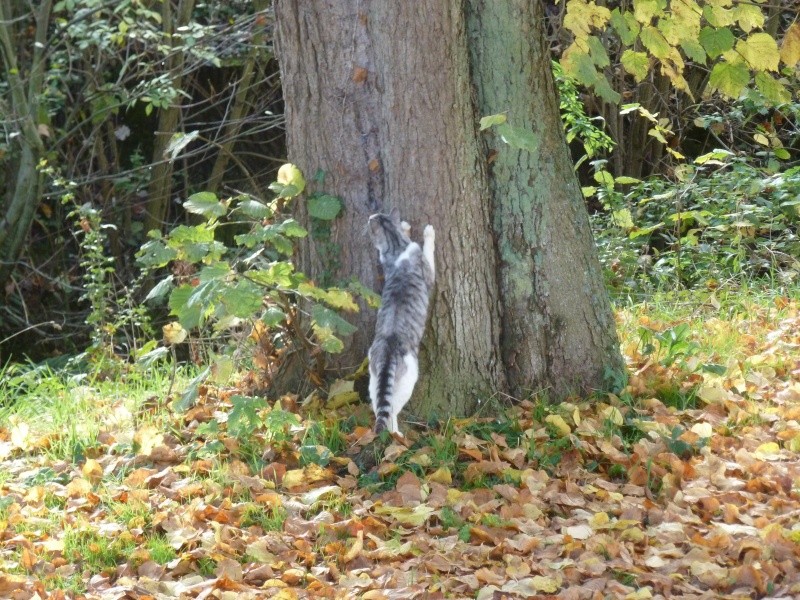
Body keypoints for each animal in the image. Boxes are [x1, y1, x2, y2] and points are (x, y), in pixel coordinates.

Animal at [368, 209, 434, 434]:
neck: (396, 246)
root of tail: (388, 351)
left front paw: (405, 227)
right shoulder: (428, 272)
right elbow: (429, 252)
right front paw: (429, 233)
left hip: (373, 379)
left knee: (379, 405)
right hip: (409, 378)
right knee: (392, 410)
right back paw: (397, 435)